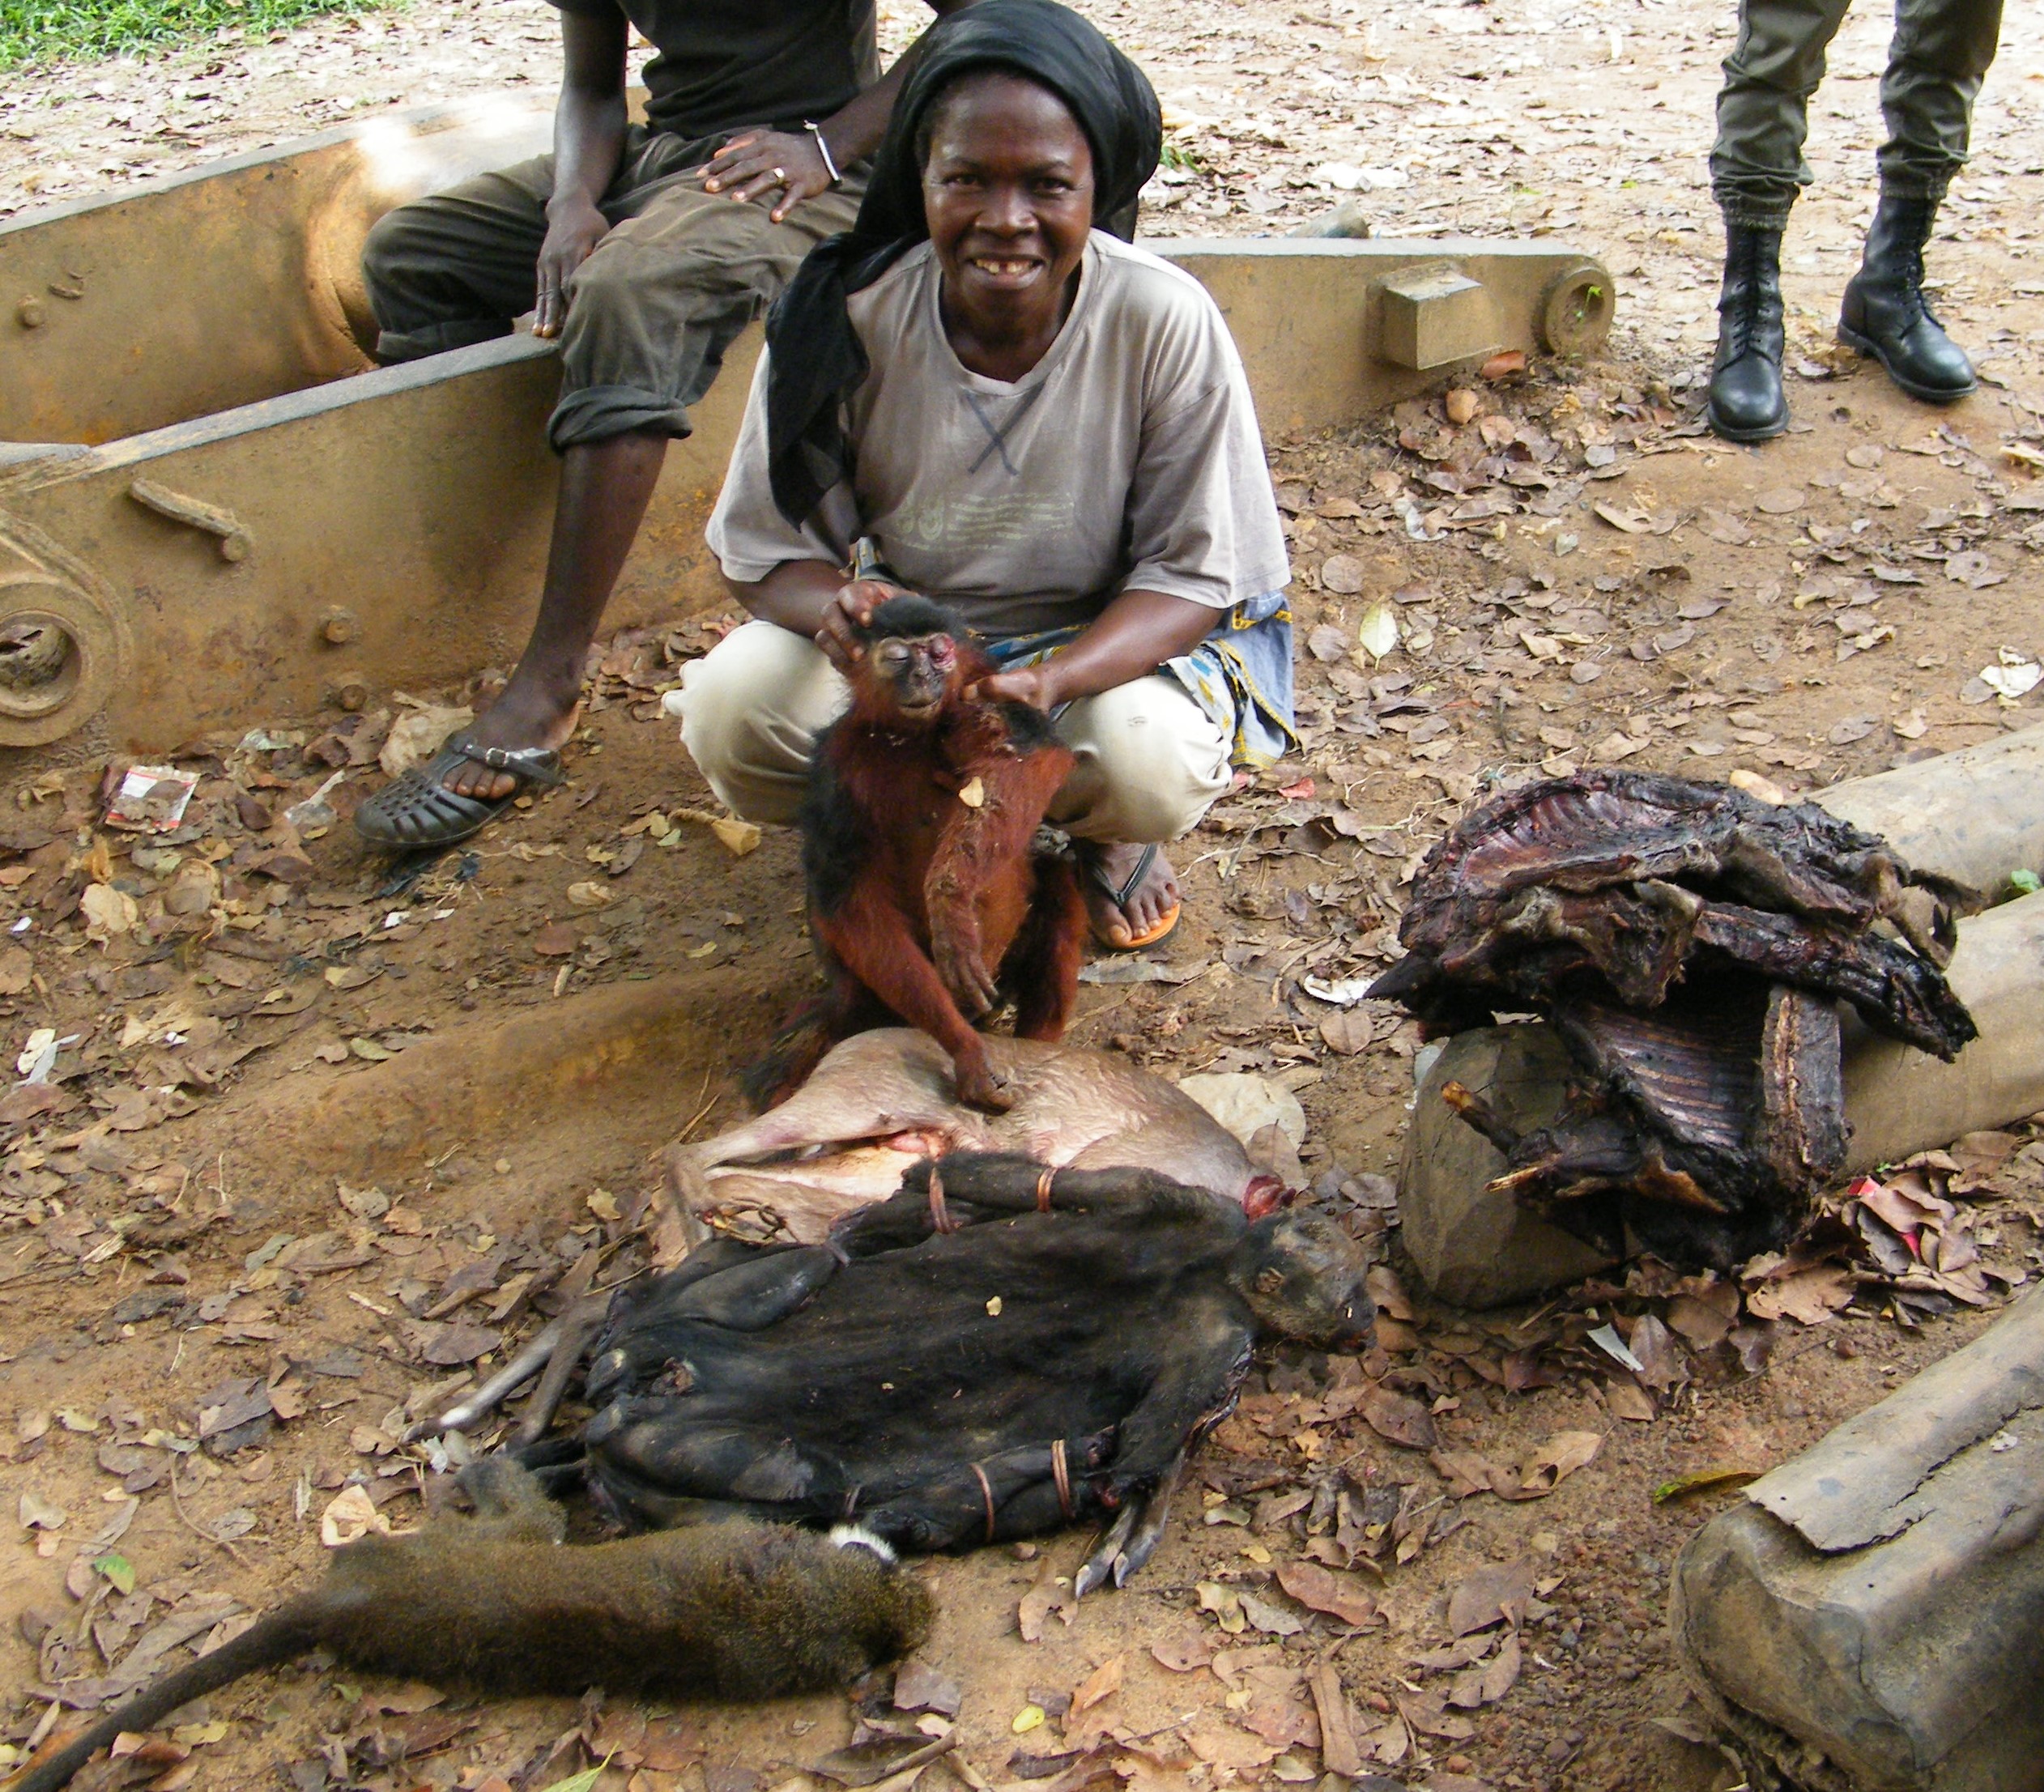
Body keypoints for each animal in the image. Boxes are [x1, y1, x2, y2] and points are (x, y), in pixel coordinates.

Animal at [8, 1459, 931, 1792]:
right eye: (884, 1564)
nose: (886, 1544)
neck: (831, 1603)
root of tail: (351, 1598)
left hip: (436, 1550)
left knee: (528, 1523)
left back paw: (493, 1472)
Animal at [745, 594, 1087, 1115]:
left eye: (938, 653)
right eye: (899, 657)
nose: (924, 677)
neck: (913, 738)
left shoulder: (976, 702)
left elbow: (1034, 755)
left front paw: (950, 898)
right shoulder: (835, 770)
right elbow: (849, 905)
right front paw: (967, 1052)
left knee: (1057, 883)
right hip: (866, 998)